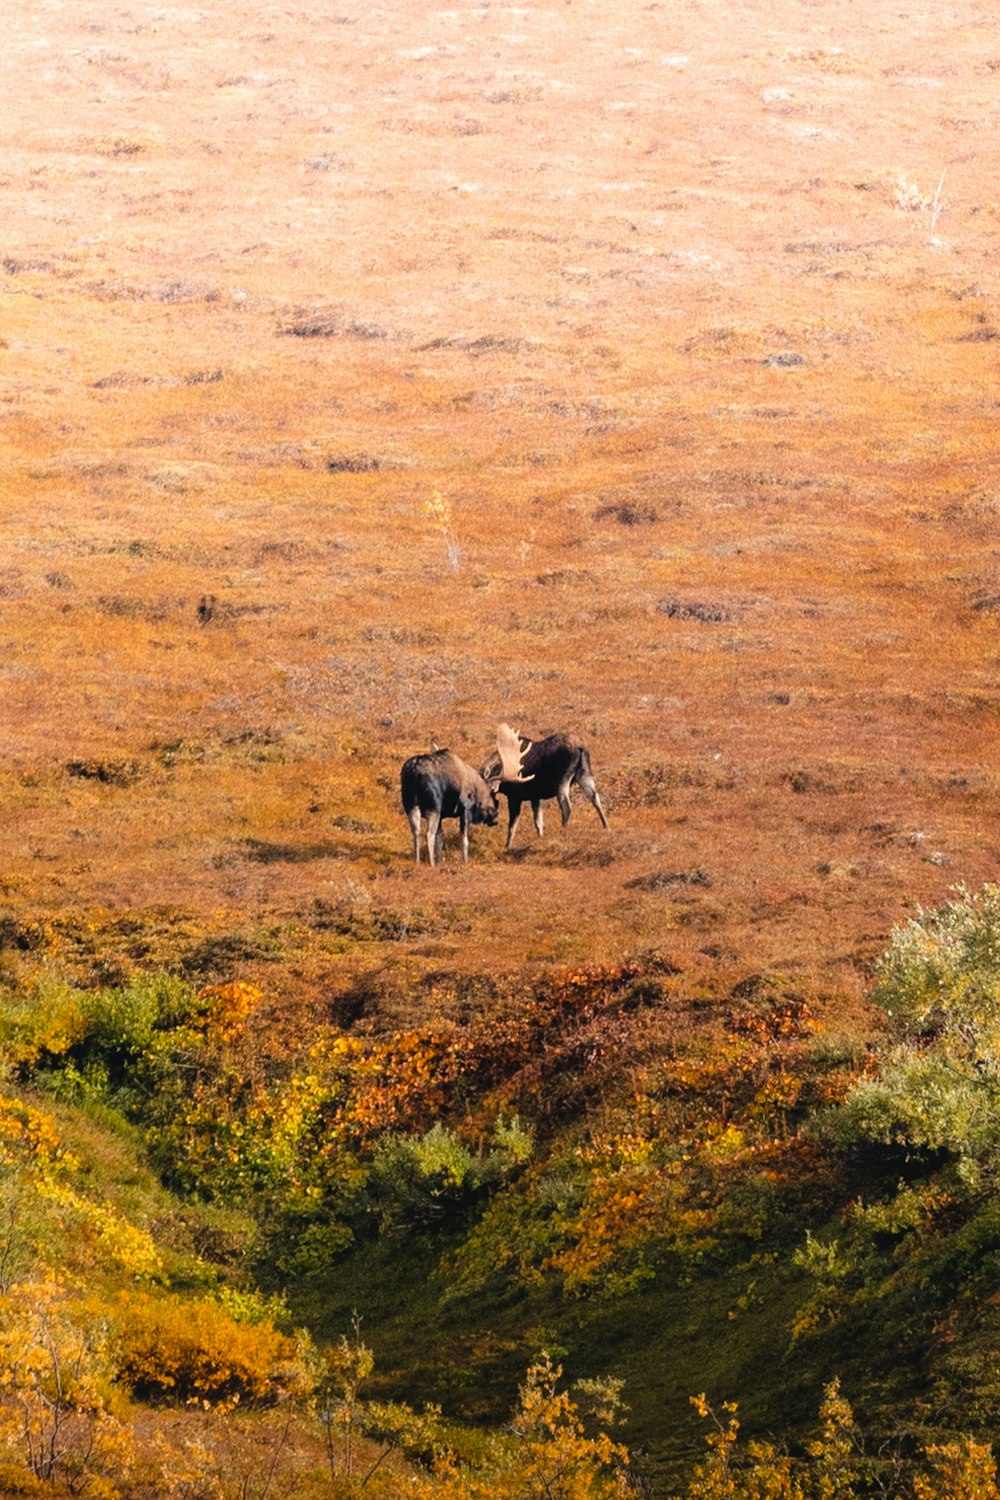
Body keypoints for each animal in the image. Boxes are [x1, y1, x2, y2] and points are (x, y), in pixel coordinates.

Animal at [401, 723, 536, 870]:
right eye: (493, 796)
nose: (495, 817)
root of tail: (415, 772)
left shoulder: (442, 815)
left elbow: (440, 840)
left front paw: (440, 861)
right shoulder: (465, 810)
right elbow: (464, 840)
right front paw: (464, 861)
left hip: (410, 804)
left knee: (416, 832)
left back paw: (417, 861)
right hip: (433, 806)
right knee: (428, 834)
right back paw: (430, 864)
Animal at [479, 729, 611, 852]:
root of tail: (580, 747)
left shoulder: (515, 798)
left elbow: (512, 826)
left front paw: (507, 847)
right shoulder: (535, 797)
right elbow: (538, 822)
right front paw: (540, 839)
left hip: (562, 781)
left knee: (567, 806)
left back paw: (563, 830)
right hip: (584, 774)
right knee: (595, 799)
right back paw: (606, 826)